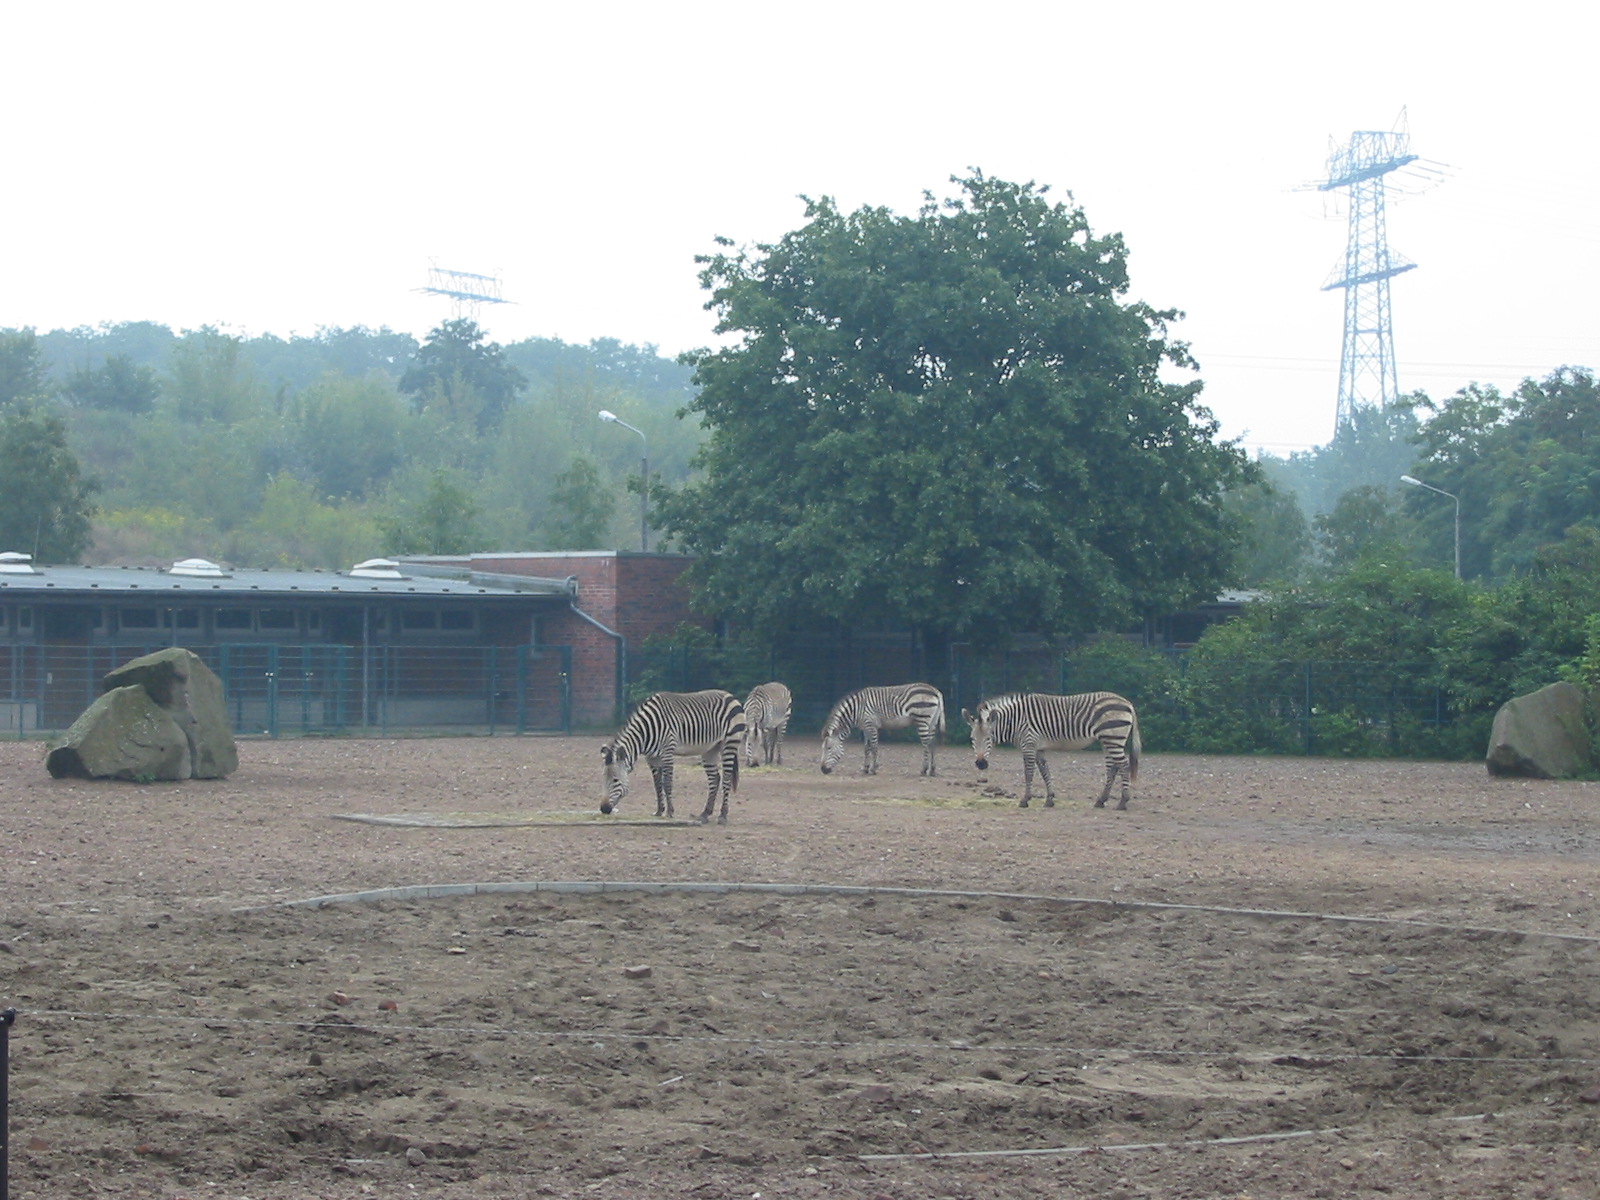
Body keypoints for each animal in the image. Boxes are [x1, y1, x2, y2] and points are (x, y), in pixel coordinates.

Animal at [600, 690, 747, 824]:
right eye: (603, 780)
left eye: (615, 780)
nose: (604, 809)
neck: (647, 732)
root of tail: (730, 695)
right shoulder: (651, 758)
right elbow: (657, 784)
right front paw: (659, 811)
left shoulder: (667, 752)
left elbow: (667, 783)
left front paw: (670, 812)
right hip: (710, 749)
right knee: (714, 779)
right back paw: (705, 813)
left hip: (729, 742)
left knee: (726, 778)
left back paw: (723, 815)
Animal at [962, 692, 1141, 810]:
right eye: (972, 739)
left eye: (989, 738)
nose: (981, 764)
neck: (1015, 722)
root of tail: (1128, 703)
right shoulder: (1038, 748)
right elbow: (1044, 771)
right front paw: (1049, 799)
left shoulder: (1028, 745)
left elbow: (1029, 773)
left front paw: (1025, 800)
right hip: (1108, 740)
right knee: (1113, 767)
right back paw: (1101, 800)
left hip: (1113, 738)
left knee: (1124, 765)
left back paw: (1123, 802)